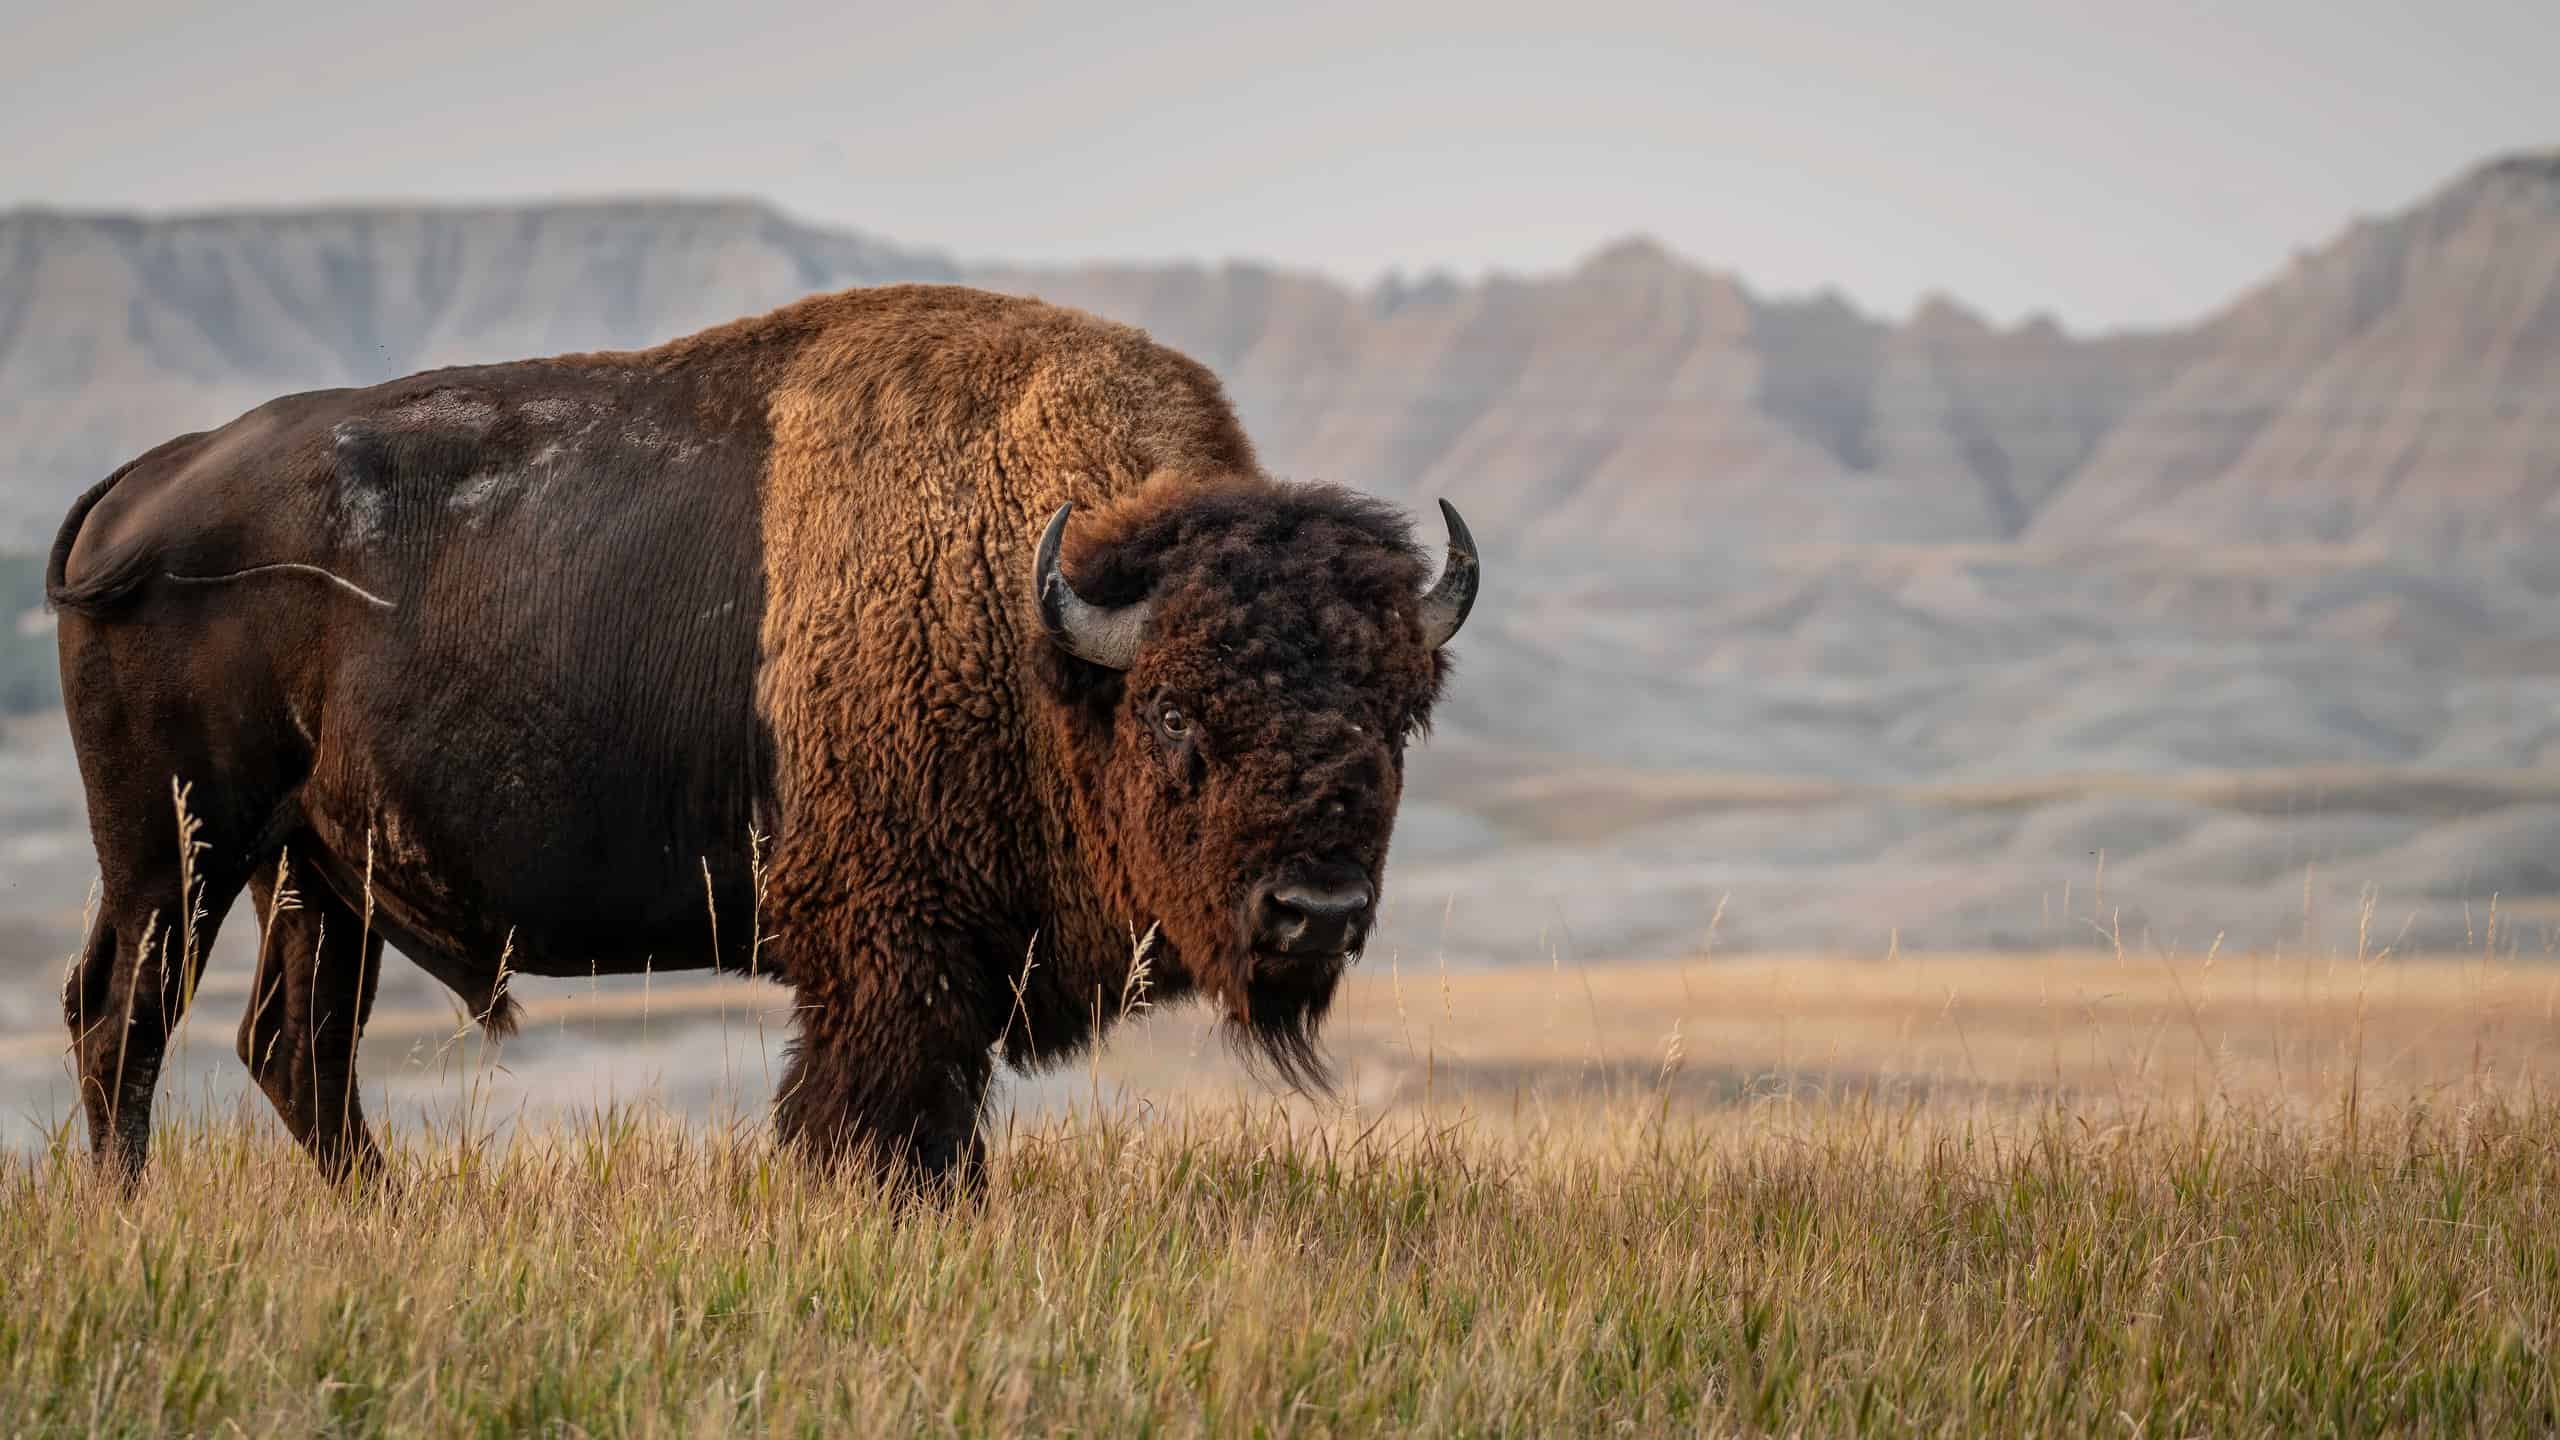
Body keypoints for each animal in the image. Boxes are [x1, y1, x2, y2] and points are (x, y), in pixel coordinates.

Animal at [45, 283, 1484, 1188]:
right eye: (1177, 713)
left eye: (1395, 715)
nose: (1313, 911)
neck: (1035, 618)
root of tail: (144, 483)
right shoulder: (893, 966)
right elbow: (884, 1128)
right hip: (177, 846)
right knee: (127, 1012)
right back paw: (131, 1217)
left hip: (315, 872)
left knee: (295, 1047)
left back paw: (385, 1218)